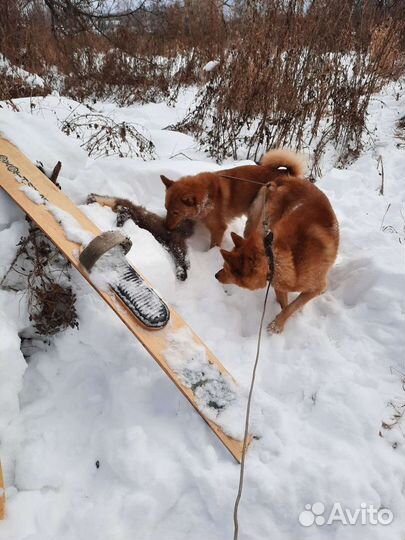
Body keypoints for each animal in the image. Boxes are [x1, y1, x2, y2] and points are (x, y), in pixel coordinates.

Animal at [159, 149, 304, 248]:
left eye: (175, 212)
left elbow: (214, 245)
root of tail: (285, 173)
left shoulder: (218, 229)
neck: (207, 195)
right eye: (166, 208)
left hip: (256, 217)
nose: (165, 227)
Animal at [215, 175, 338, 332]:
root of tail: (285, 178)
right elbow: (286, 305)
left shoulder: (314, 287)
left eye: (226, 268)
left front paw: (278, 324)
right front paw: (283, 320)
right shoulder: (279, 285)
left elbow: (293, 306)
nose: (215, 275)